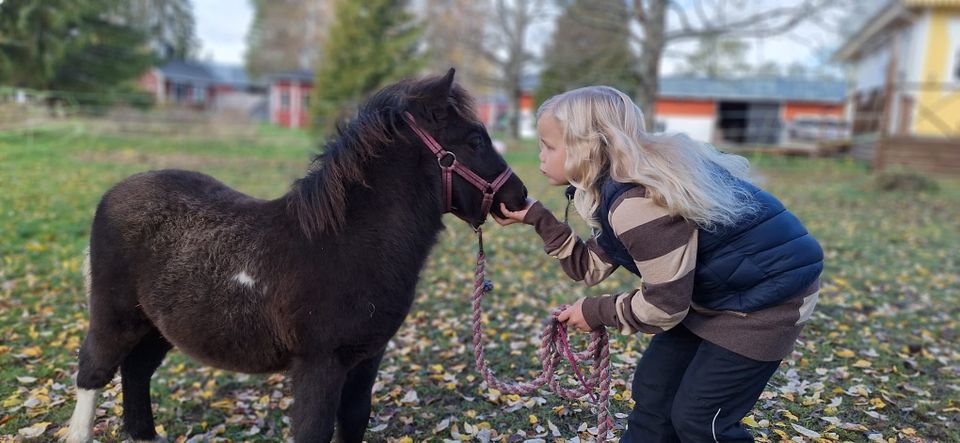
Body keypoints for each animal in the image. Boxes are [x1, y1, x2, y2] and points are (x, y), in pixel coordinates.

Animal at [63, 71, 528, 442]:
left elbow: (354, 419)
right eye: (474, 139)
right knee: (93, 371)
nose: (519, 195)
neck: (346, 243)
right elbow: (313, 431)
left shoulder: (366, 357)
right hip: (115, 317)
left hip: (157, 326)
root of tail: (113, 193)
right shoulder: (319, 364)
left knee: (136, 372)